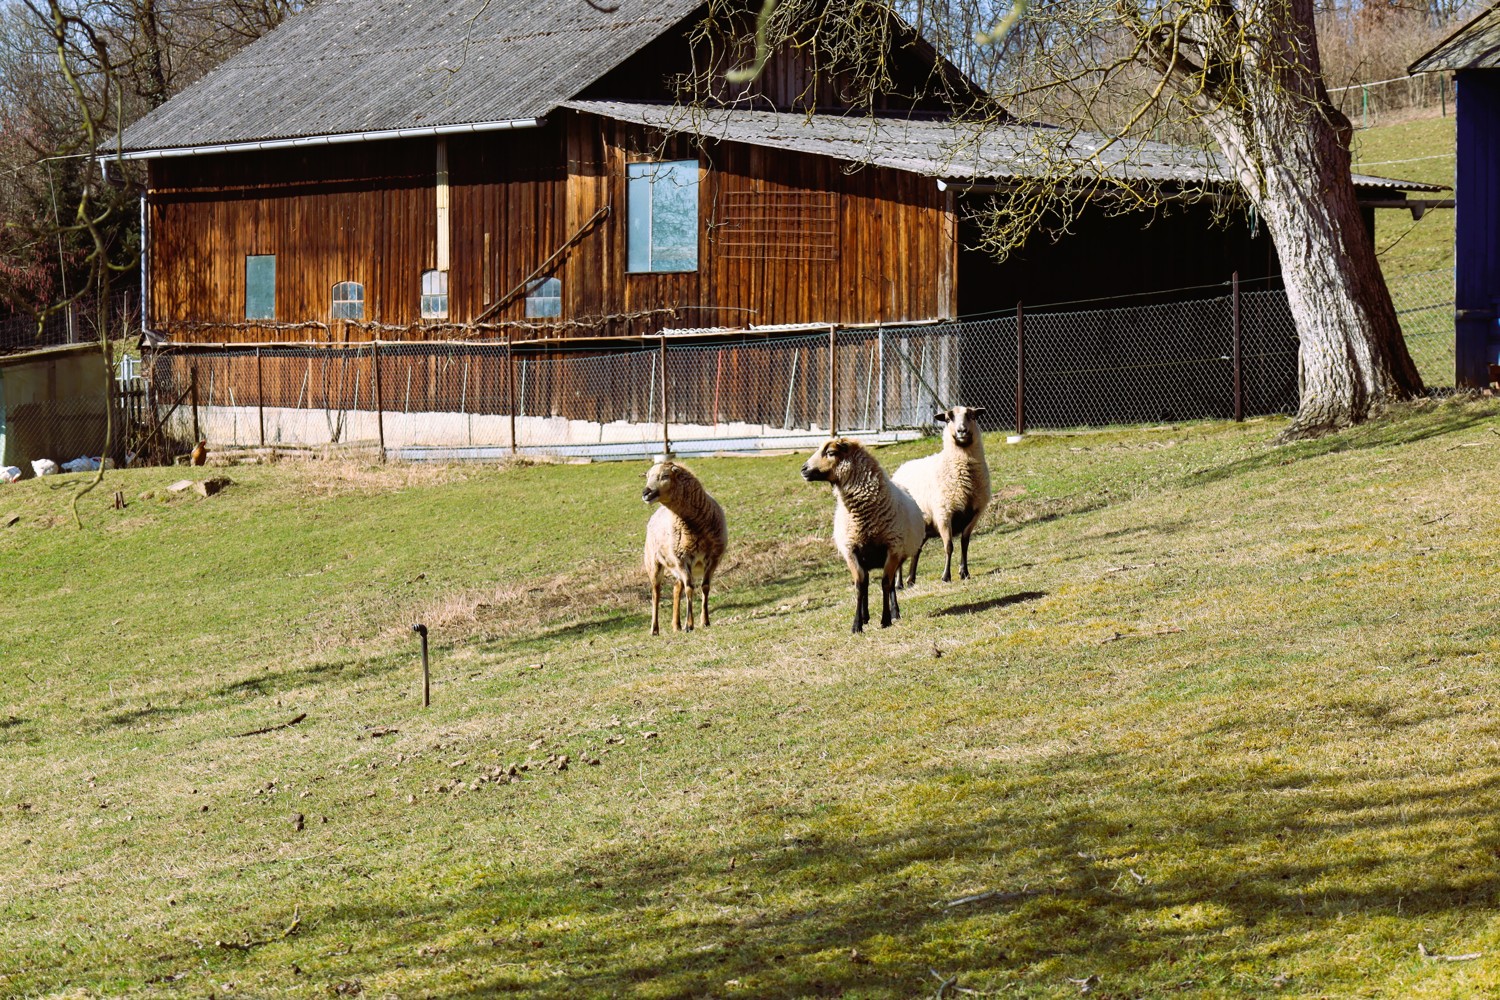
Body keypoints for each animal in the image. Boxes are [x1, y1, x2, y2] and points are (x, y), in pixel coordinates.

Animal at [639, 458, 726, 632]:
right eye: (648, 476)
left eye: (665, 476)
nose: (646, 492)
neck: (694, 527)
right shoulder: (682, 559)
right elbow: (689, 588)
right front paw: (689, 624)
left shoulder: (712, 558)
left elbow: (705, 587)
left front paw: (704, 621)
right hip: (654, 562)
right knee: (656, 593)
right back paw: (655, 629)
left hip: (676, 566)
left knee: (676, 588)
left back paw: (676, 625)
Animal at [798, 434, 924, 632]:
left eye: (830, 452)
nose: (803, 469)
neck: (863, 519)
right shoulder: (851, 551)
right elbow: (859, 586)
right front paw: (857, 624)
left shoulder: (892, 549)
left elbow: (885, 583)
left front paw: (886, 619)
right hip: (866, 558)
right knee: (865, 584)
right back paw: (865, 617)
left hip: (899, 554)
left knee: (891, 585)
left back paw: (895, 613)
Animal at [888, 401, 996, 581]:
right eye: (947, 418)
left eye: (972, 416)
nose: (961, 431)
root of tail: (899, 470)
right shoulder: (944, 514)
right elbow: (949, 546)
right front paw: (946, 576)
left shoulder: (974, 513)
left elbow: (965, 543)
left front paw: (964, 572)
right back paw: (899, 583)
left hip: (923, 527)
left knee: (916, 550)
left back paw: (911, 579)